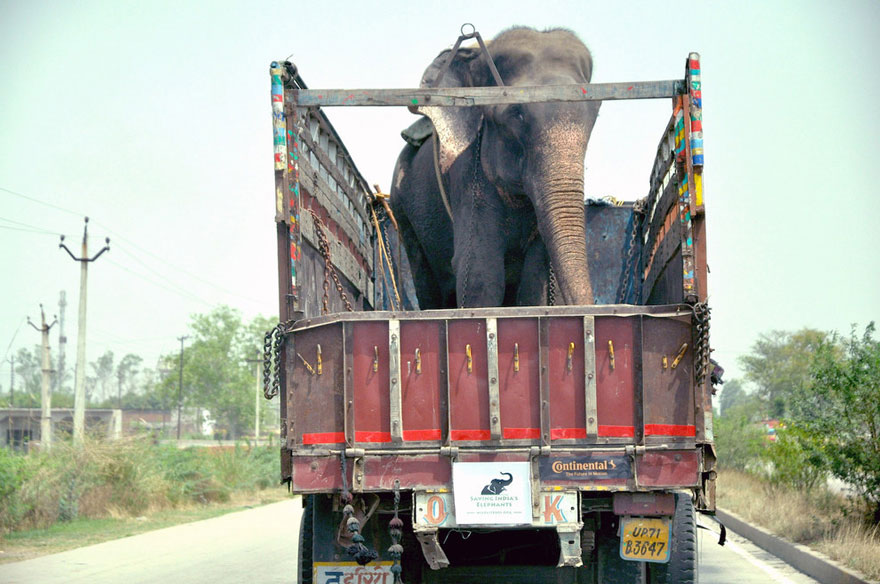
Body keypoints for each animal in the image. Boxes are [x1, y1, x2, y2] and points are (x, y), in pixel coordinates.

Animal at [390, 27, 600, 310]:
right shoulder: (467, 167)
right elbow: (481, 269)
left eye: (595, 113)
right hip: (402, 208)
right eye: (516, 114)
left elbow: (534, 279)